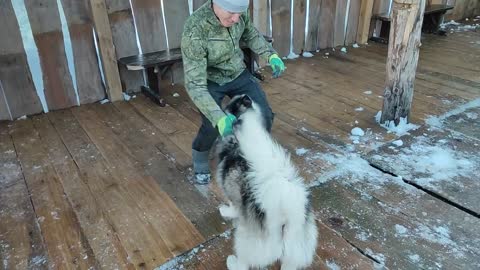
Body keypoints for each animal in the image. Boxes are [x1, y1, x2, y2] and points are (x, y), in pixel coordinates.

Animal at [216, 95, 316, 270]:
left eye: (229, 106)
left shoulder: (232, 192)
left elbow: (233, 206)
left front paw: (226, 211)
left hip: (247, 239)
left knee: (244, 262)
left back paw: (233, 263)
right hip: (296, 244)